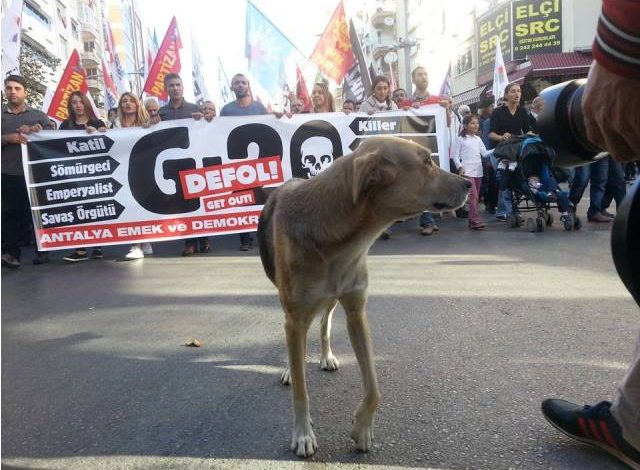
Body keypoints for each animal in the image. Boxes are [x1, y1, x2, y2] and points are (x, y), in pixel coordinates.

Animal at [256, 135, 470, 456]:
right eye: (426, 162)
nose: (469, 183)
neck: (340, 239)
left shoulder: (357, 312)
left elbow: (374, 387)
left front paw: (363, 429)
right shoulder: (296, 317)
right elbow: (301, 393)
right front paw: (303, 434)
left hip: (332, 300)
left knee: (324, 324)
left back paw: (326, 356)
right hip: (289, 306)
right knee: (297, 340)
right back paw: (291, 370)